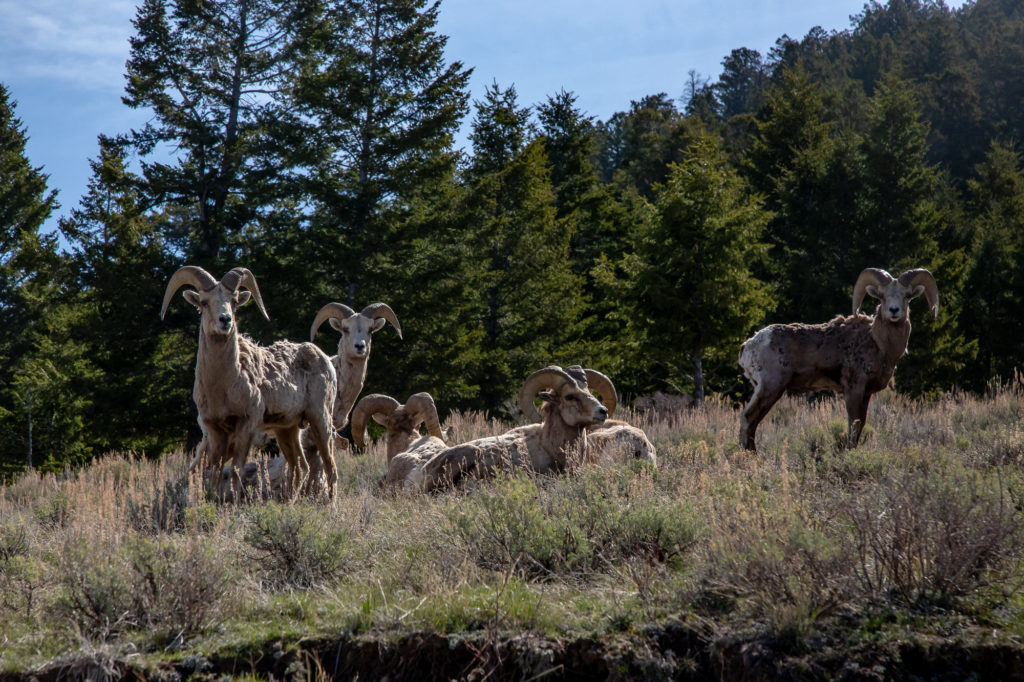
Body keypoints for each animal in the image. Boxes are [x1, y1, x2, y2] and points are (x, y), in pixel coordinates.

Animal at [159, 266, 335, 499]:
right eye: (204, 302)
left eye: (234, 301)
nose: (225, 320)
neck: (221, 387)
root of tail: (326, 360)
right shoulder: (215, 431)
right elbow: (214, 472)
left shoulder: (246, 425)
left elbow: (235, 470)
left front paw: (233, 501)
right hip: (287, 429)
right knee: (300, 466)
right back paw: (290, 501)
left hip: (320, 419)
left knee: (330, 466)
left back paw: (331, 504)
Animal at [737, 266, 937, 450]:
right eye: (882, 296)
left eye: (906, 296)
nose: (894, 310)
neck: (878, 344)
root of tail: (748, 345)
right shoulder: (853, 389)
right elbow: (853, 425)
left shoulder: (866, 393)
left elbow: (861, 424)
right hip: (770, 388)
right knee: (749, 418)